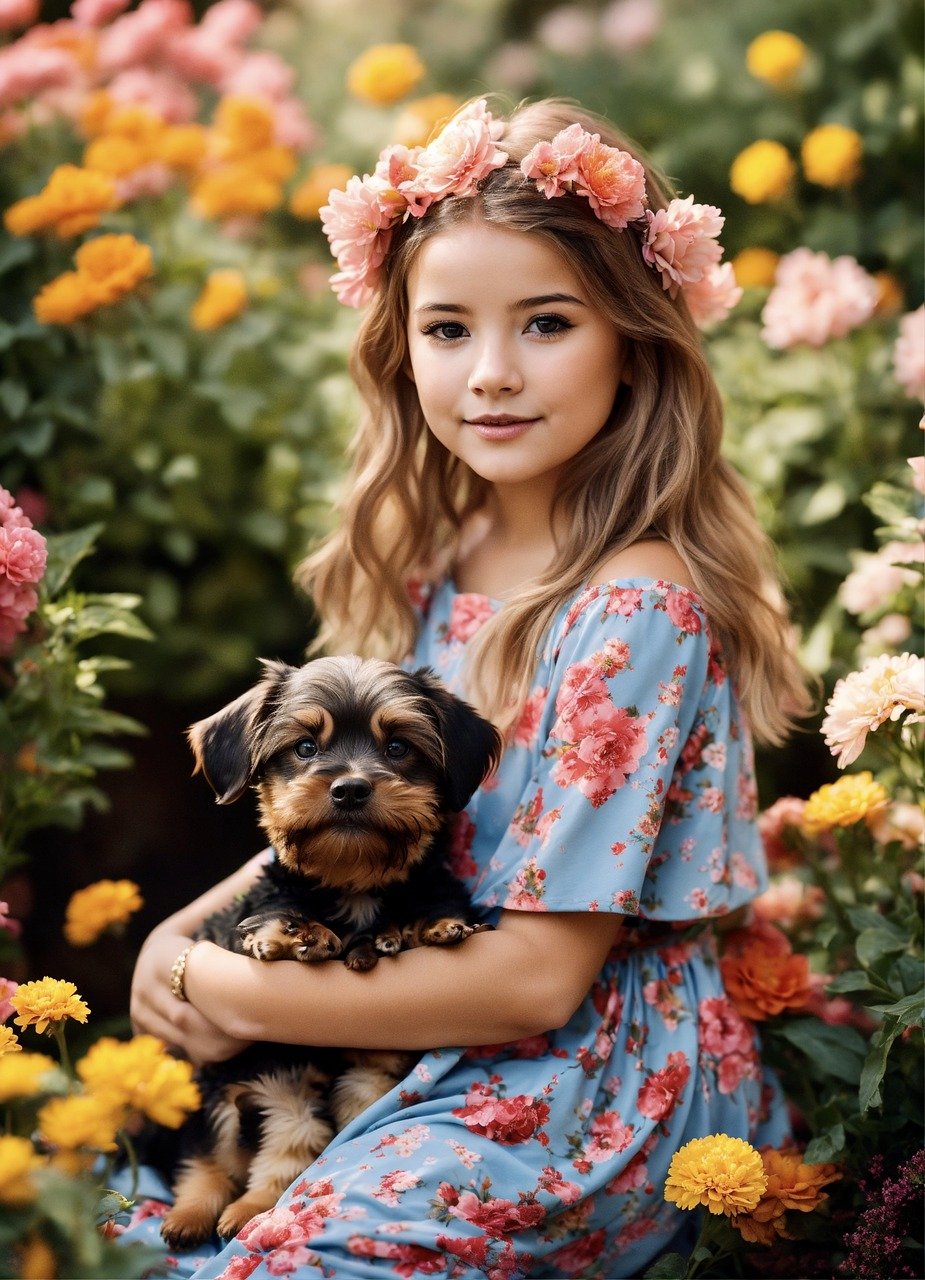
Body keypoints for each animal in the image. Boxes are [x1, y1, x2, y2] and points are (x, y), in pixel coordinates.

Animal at [163, 655, 504, 1244]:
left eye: (398, 747)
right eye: (305, 747)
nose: (349, 788)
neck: (355, 883)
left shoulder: (375, 1059)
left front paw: (429, 926)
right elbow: (274, 915)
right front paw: (297, 933)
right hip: (234, 1086)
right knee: (218, 1153)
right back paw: (201, 1211)